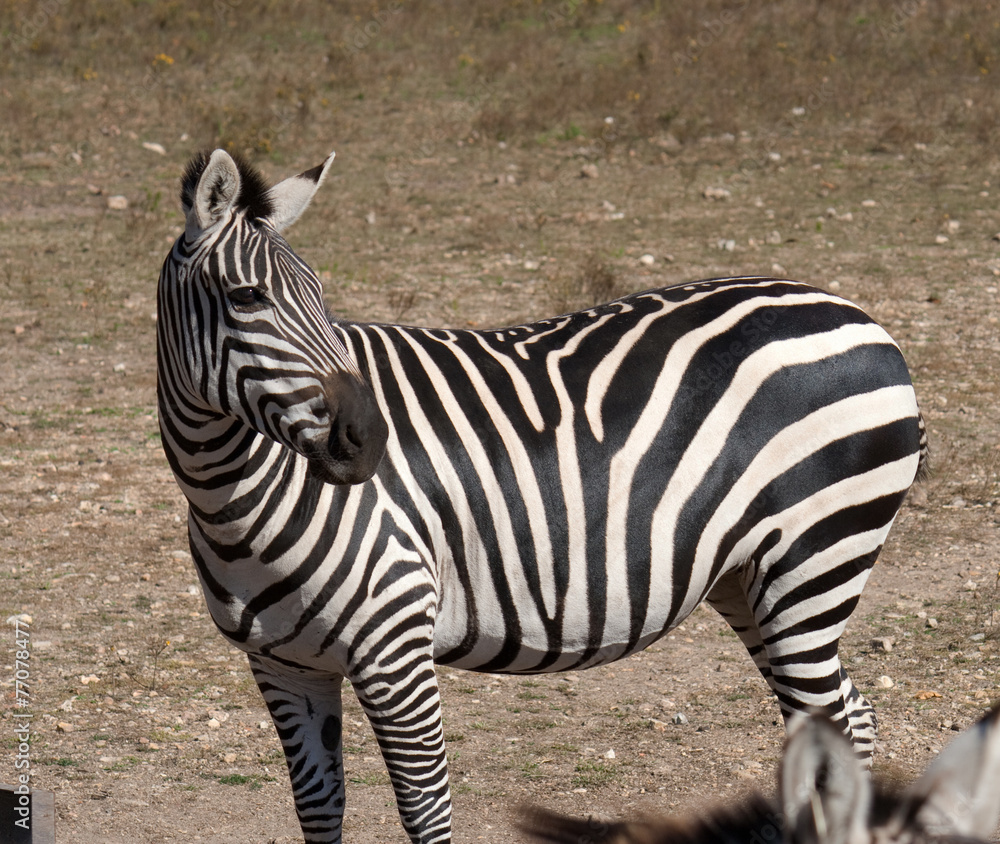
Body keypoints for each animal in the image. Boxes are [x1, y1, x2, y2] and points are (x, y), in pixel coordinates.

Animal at [156, 149, 928, 844]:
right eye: (248, 298)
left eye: (321, 297)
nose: (369, 440)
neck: (231, 493)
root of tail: (857, 314)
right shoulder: (285, 664)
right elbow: (319, 808)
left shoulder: (393, 646)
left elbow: (426, 809)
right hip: (748, 578)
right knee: (847, 718)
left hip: (812, 562)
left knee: (835, 719)